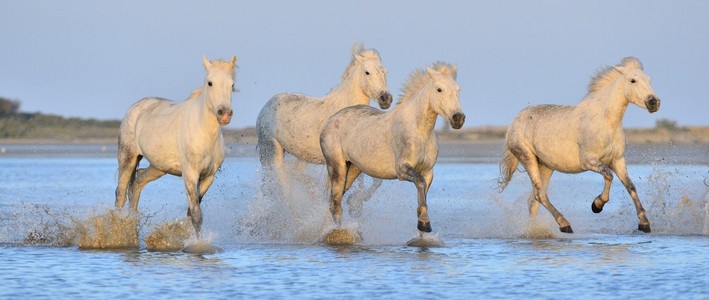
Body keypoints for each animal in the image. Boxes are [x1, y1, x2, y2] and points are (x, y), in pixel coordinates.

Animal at [115, 55, 236, 239]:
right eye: (210, 83)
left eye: (232, 84)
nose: (224, 114)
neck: (205, 133)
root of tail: (136, 107)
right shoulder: (190, 175)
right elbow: (196, 215)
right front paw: (198, 243)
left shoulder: (208, 176)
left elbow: (191, 211)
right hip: (128, 157)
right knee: (120, 193)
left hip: (159, 167)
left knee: (136, 184)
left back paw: (133, 230)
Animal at [256, 44, 392, 209]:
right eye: (367, 72)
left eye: (384, 71)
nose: (385, 99)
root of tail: (265, 107)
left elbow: (376, 180)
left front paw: (355, 203)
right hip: (272, 151)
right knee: (280, 186)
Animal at [320, 62, 464, 233]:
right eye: (439, 89)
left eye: (458, 90)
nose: (458, 118)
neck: (419, 131)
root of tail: (329, 121)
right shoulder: (402, 169)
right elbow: (420, 183)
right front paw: (424, 223)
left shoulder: (428, 171)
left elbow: (423, 191)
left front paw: (422, 221)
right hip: (337, 167)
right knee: (335, 203)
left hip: (353, 169)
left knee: (336, 199)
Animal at [498, 56, 660, 234]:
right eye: (633, 80)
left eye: (649, 80)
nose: (654, 102)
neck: (605, 121)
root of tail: (514, 122)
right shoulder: (589, 161)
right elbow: (608, 175)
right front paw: (597, 205)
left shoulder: (618, 160)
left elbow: (631, 186)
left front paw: (644, 223)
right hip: (528, 158)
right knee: (540, 195)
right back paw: (564, 224)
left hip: (546, 166)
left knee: (533, 199)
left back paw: (535, 230)